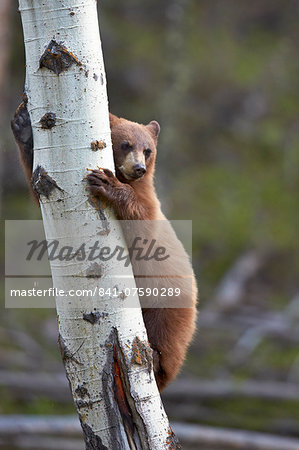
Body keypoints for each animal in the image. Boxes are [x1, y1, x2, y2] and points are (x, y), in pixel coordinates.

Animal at [11, 104, 198, 390]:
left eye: (148, 149)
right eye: (125, 144)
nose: (139, 168)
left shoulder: (150, 207)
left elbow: (142, 227)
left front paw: (108, 184)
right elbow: (40, 187)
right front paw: (23, 126)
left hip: (170, 303)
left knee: (168, 339)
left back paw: (156, 360)